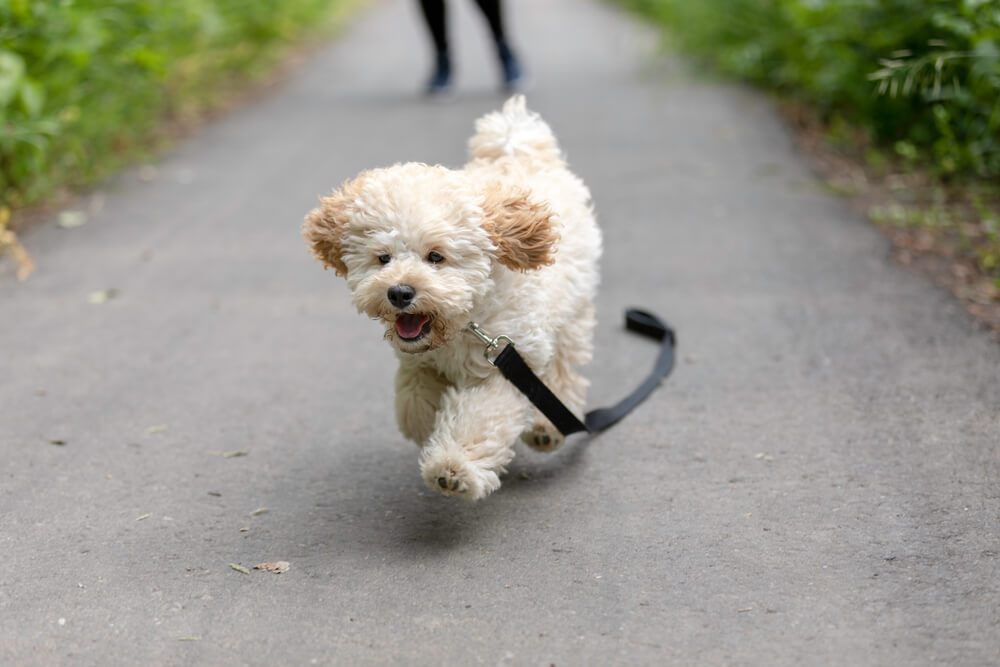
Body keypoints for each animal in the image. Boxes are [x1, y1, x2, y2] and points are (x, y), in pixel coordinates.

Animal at [302, 96, 600, 498]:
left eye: (436, 256)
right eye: (383, 258)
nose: (399, 292)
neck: (464, 323)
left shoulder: (505, 364)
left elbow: (478, 418)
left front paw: (452, 467)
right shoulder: (419, 362)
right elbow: (414, 400)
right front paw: (428, 427)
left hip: (570, 315)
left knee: (563, 371)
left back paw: (545, 427)